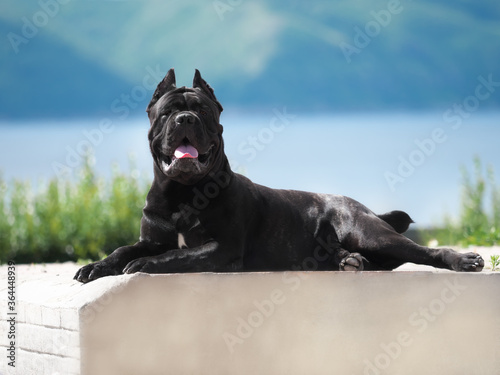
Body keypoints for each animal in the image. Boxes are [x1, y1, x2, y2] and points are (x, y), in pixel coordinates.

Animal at [74, 69, 484, 284]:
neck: (182, 193)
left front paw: (145, 266)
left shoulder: (222, 248)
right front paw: (97, 266)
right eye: (167, 111)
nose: (186, 119)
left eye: (202, 110)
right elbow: (123, 249)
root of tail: (357, 204)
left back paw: (464, 262)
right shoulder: (151, 238)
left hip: (368, 232)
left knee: (423, 252)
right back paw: (350, 262)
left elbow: (178, 254)